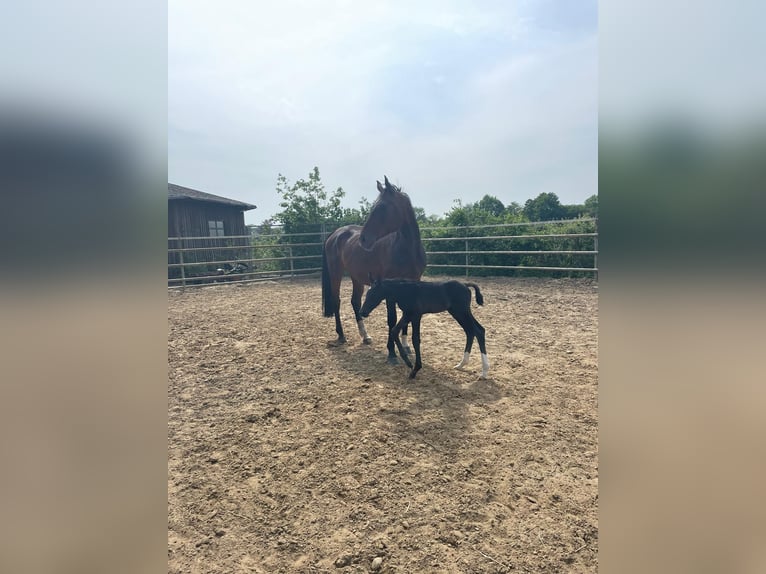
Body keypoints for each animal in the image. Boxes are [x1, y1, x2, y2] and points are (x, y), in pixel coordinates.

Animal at [320, 177, 426, 364]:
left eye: (382, 207)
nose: (363, 239)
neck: (407, 250)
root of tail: (335, 234)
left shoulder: (412, 284)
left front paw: (406, 347)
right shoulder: (390, 289)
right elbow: (392, 319)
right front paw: (391, 353)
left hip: (356, 277)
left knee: (355, 301)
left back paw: (365, 336)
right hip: (335, 274)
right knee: (337, 301)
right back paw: (341, 336)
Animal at [362, 278, 492, 380]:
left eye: (373, 294)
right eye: (367, 294)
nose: (362, 312)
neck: (405, 290)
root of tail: (465, 285)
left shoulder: (415, 315)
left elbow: (415, 339)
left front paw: (414, 369)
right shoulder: (408, 315)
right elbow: (394, 331)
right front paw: (408, 363)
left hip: (462, 311)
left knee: (478, 331)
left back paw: (484, 372)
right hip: (457, 312)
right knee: (471, 331)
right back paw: (461, 364)